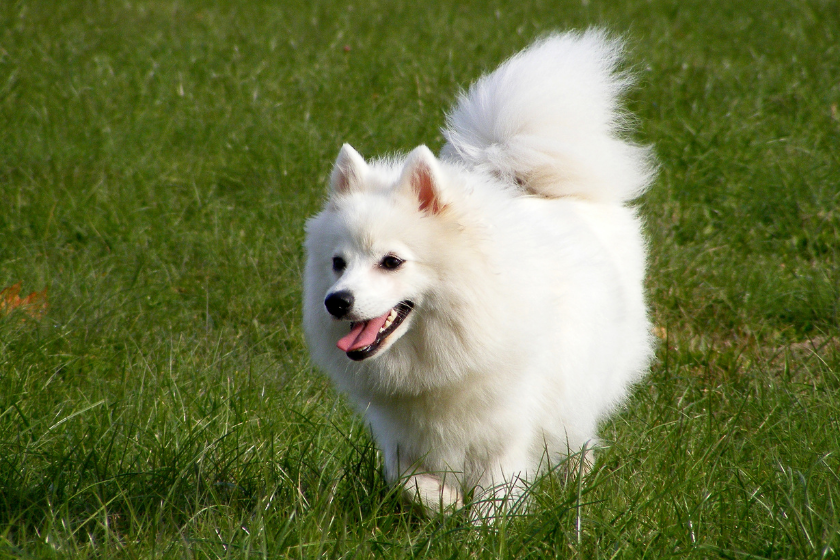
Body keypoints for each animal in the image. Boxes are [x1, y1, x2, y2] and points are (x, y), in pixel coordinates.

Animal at [302, 28, 656, 516]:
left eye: (391, 261)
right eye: (338, 263)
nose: (336, 302)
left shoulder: (508, 432)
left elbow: (493, 501)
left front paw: (479, 524)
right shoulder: (401, 436)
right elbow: (408, 482)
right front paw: (446, 503)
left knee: (579, 435)